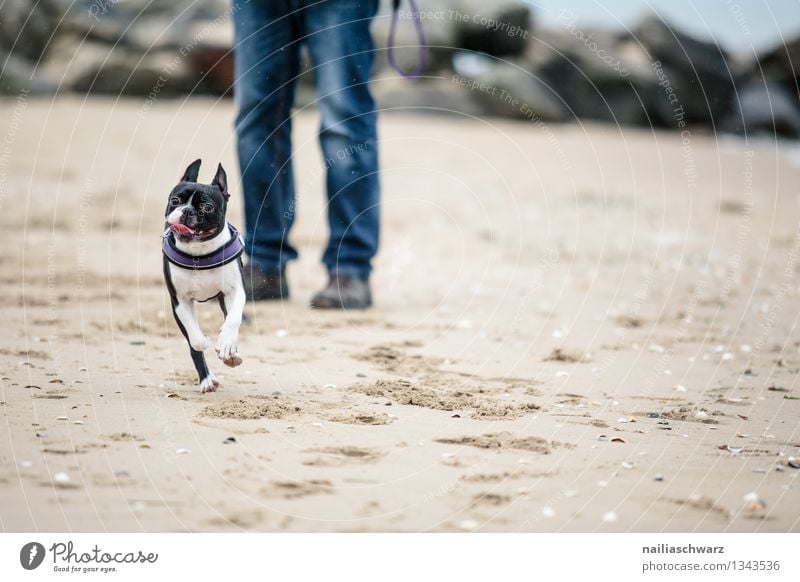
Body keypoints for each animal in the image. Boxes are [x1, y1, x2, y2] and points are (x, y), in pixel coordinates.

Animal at [161, 161, 245, 392]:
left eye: (207, 207)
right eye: (175, 201)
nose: (186, 210)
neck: (199, 253)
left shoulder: (235, 291)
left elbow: (233, 319)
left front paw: (226, 344)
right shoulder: (179, 301)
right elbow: (195, 339)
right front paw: (205, 341)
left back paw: (231, 354)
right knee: (192, 343)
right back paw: (207, 379)